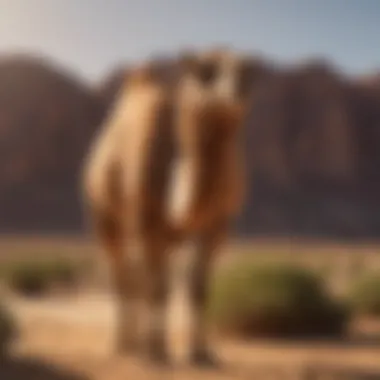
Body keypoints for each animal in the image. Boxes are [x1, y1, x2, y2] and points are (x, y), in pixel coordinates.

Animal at [81, 47, 256, 366]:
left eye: (248, 71)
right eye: (205, 70)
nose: (240, 88)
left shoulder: (216, 225)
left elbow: (198, 289)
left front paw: (202, 354)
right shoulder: (148, 221)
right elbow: (157, 288)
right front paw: (156, 352)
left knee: (138, 276)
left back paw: (136, 343)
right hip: (102, 215)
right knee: (122, 274)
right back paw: (123, 345)